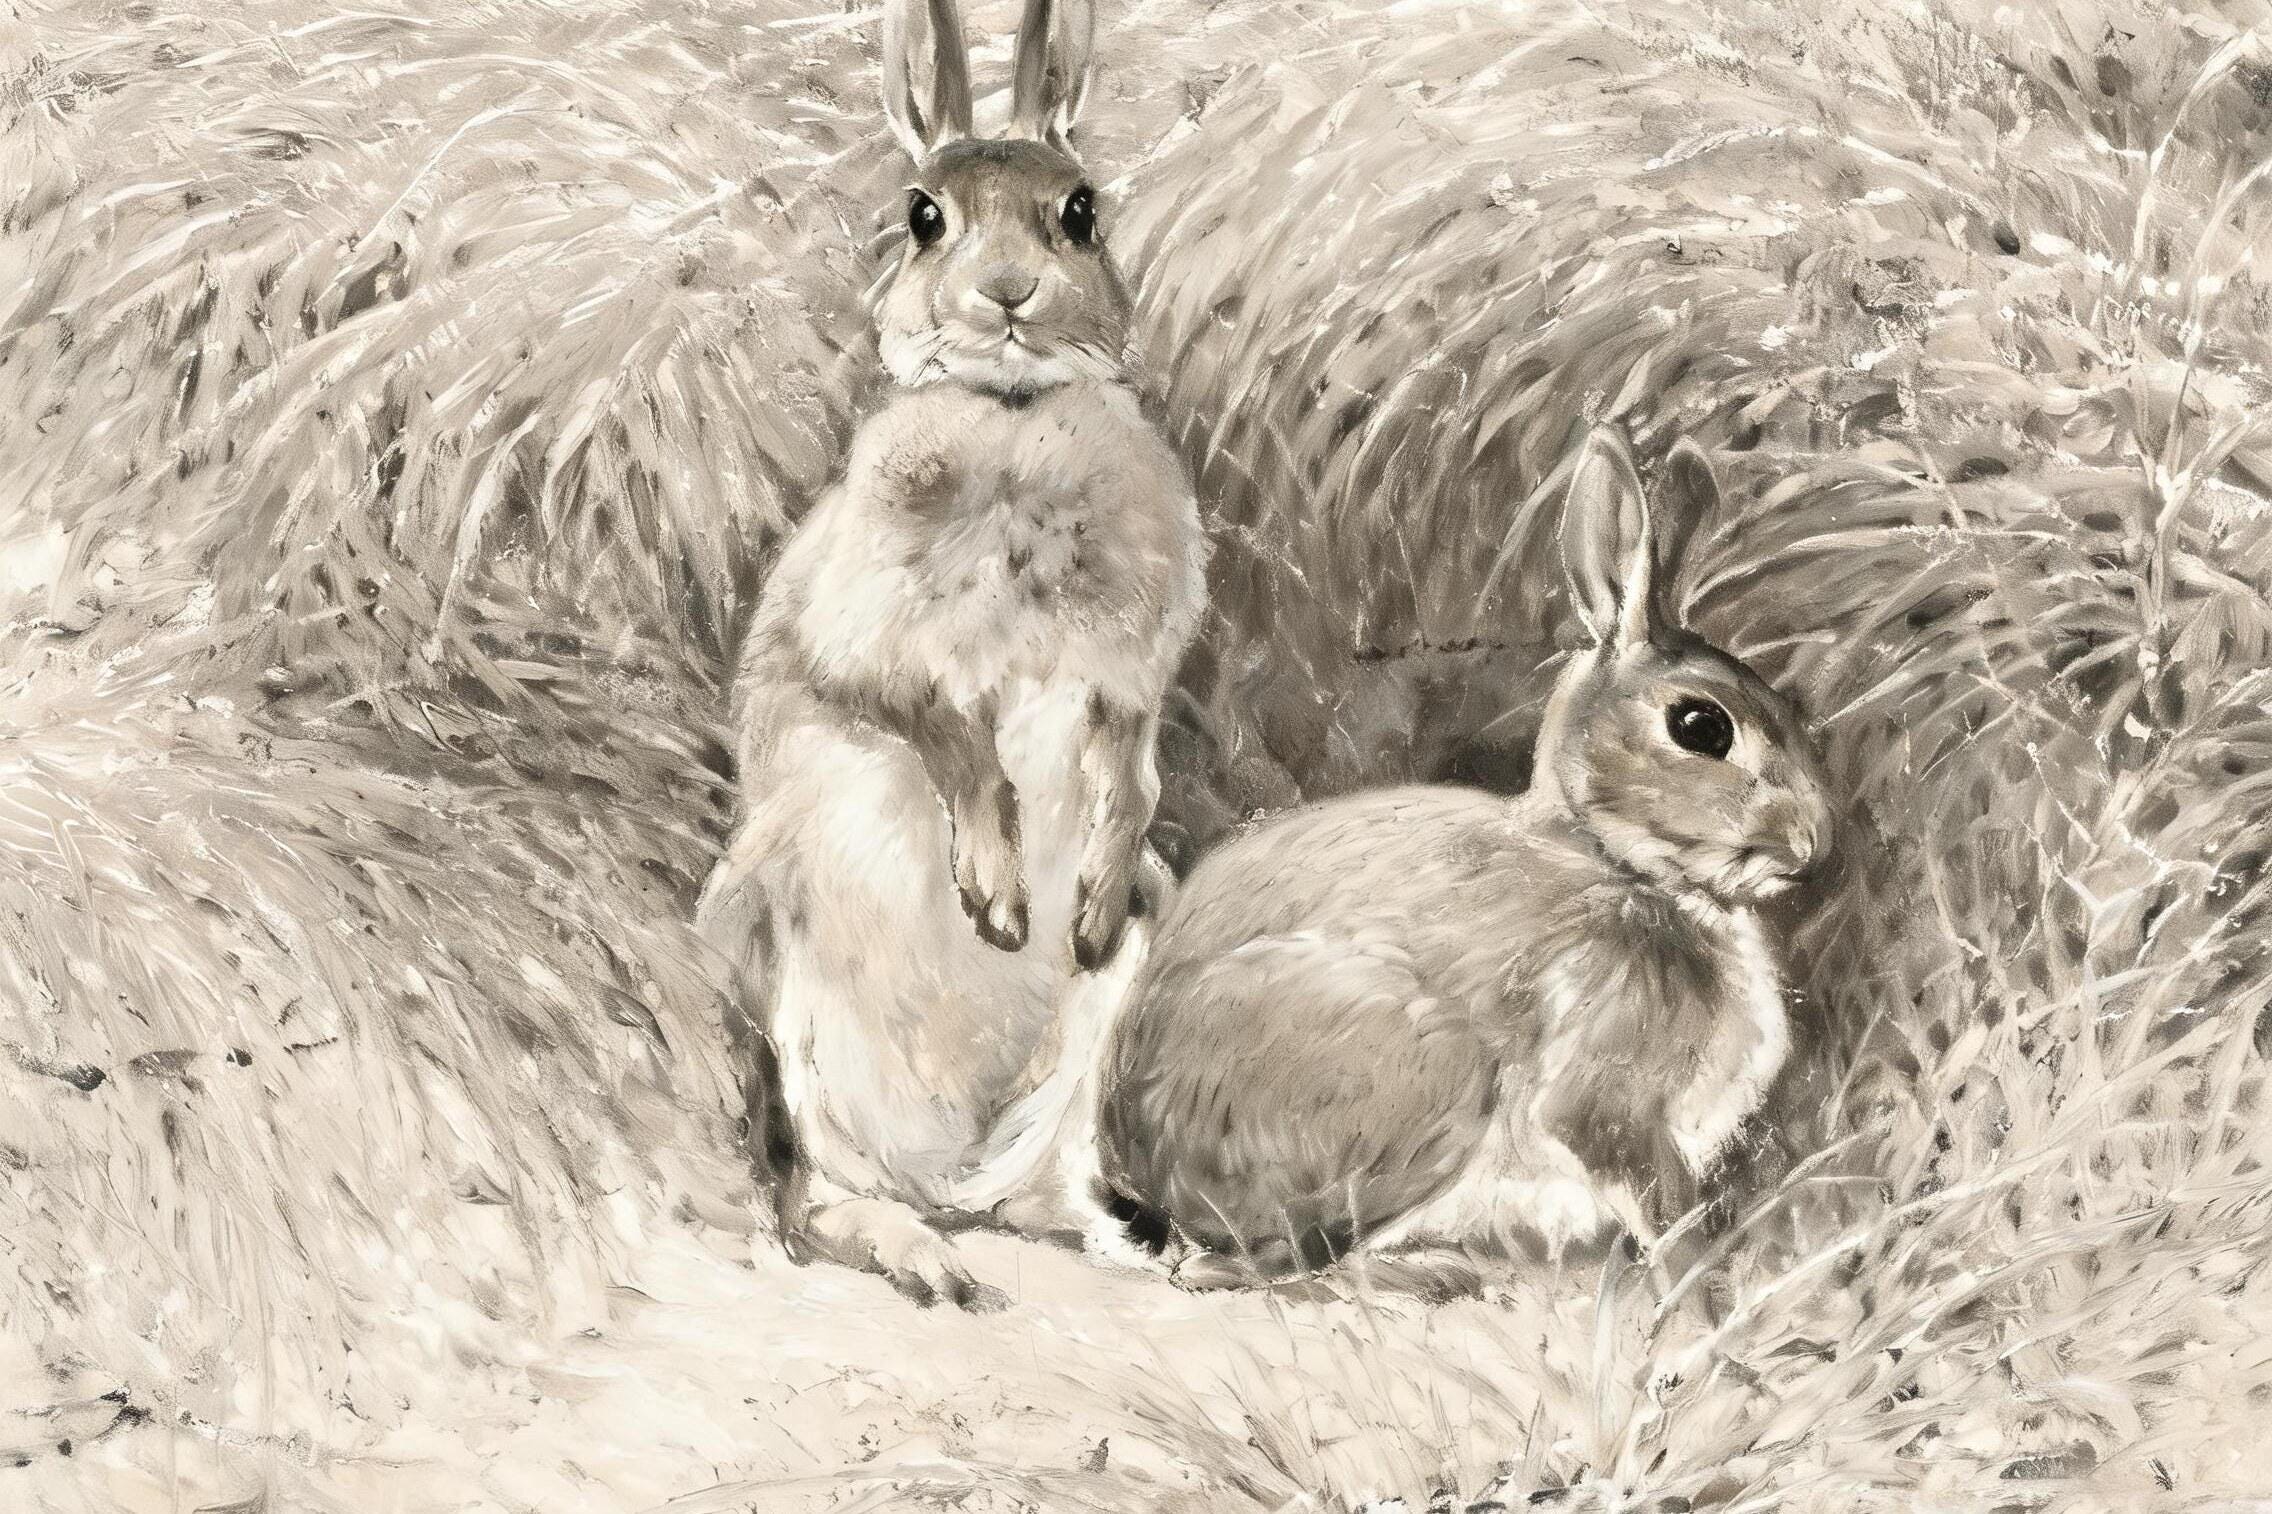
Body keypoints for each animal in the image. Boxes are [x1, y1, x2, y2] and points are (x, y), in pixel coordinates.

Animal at [696, 0, 1207, 1308]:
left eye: (1080, 209)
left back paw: (1137, 1241)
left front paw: (1078, 905)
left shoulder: (1127, 680)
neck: (1012, 419)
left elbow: (1131, 763)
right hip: (794, 995)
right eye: (925, 215)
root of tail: (953, 1169)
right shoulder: (860, 640)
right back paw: (926, 1257)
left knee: (1041, 1185)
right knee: (815, 1200)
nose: (1010, 292)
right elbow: (947, 730)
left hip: (1098, 1026)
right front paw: (996, 894)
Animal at [1094, 424, 1831, 1292]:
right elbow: (1662, 1202)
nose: (1814, 845)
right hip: (1428, 1083)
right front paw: (1705, 1282)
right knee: (1256, 1264)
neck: (1616, 861)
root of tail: (1137, 1160)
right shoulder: (1604, 1096)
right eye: (1702, 728)